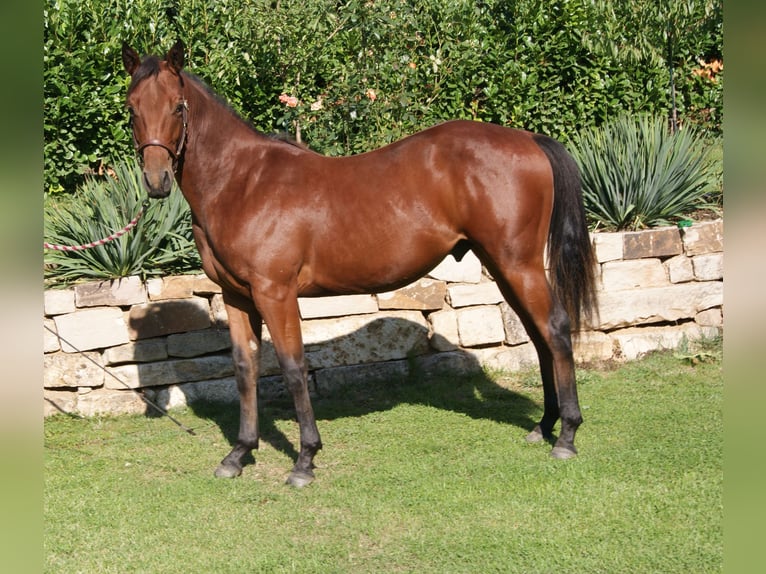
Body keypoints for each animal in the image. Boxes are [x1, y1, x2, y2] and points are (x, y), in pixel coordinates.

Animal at [121, 40, 600, 488]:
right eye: (132, 107)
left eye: (178, 105)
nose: (157, 180)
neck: (243, 182)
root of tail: (528, 139)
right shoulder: (237, 295)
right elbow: (244, 367)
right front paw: (239, 454)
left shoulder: (275, 293)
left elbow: (293, 367)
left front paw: (305, 460)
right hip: (502, 268)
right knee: (538, 337)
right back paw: (544, 426)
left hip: (519, 265)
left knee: (556, 329)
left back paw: (567, 436)